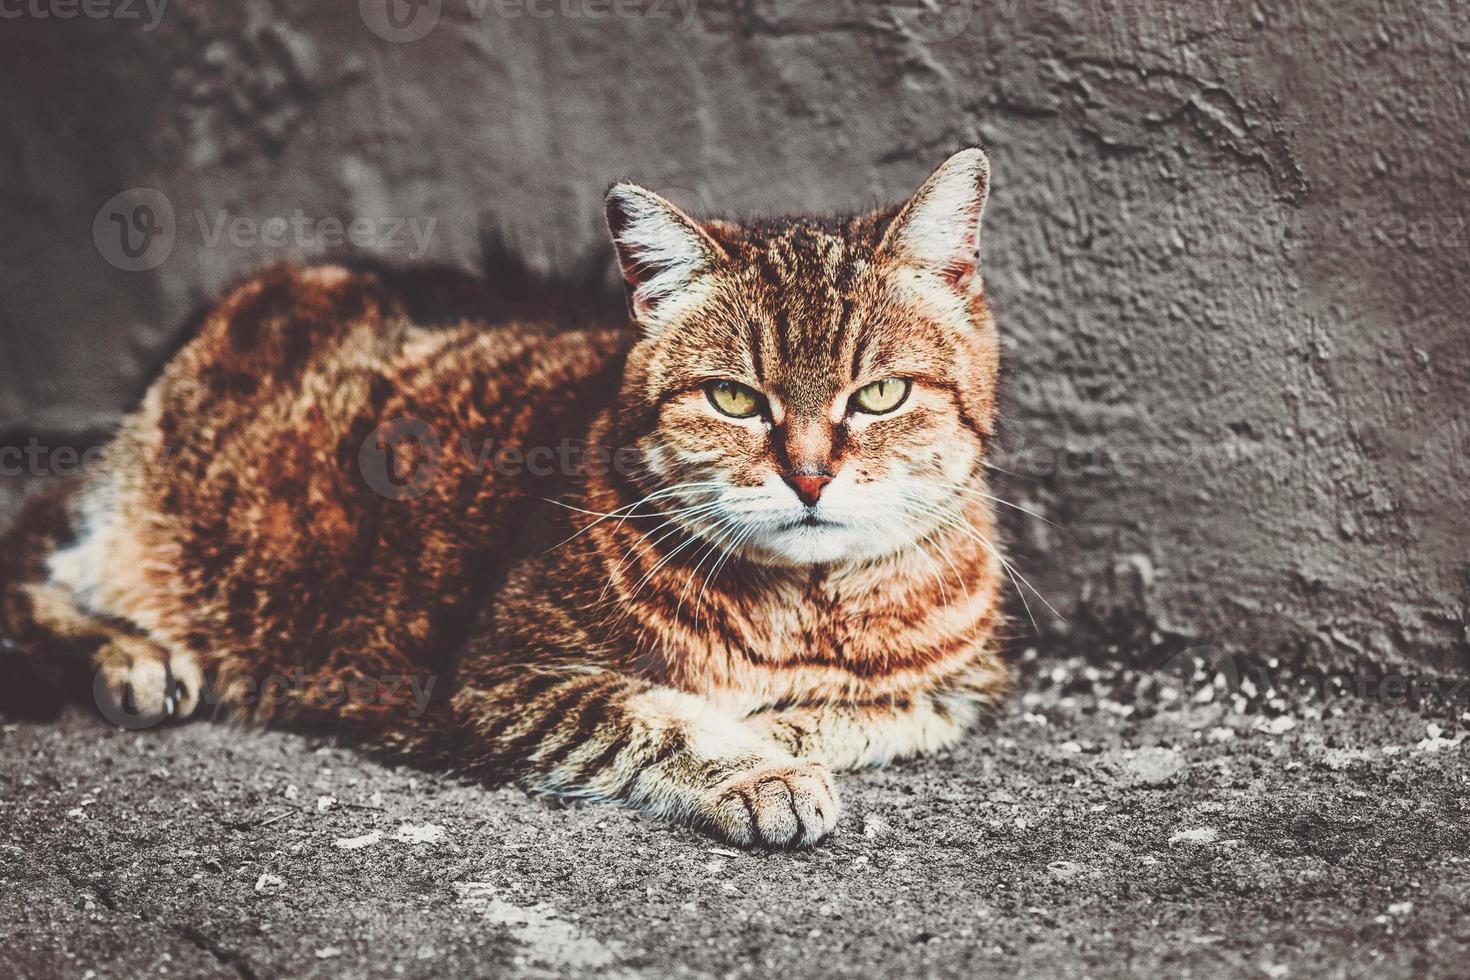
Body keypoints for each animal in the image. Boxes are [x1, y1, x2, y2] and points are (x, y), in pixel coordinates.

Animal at [0, 149, 1011, 846]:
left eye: (880, 395)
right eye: (734, 399)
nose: (807, 475)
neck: (807, 607)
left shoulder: (967, 689)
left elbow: (873, 717)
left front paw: (786, 731)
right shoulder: (505, 676)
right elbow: (660, 721)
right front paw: (759, 770)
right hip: (141, 533)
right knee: (28, 554)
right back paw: (132, 657)